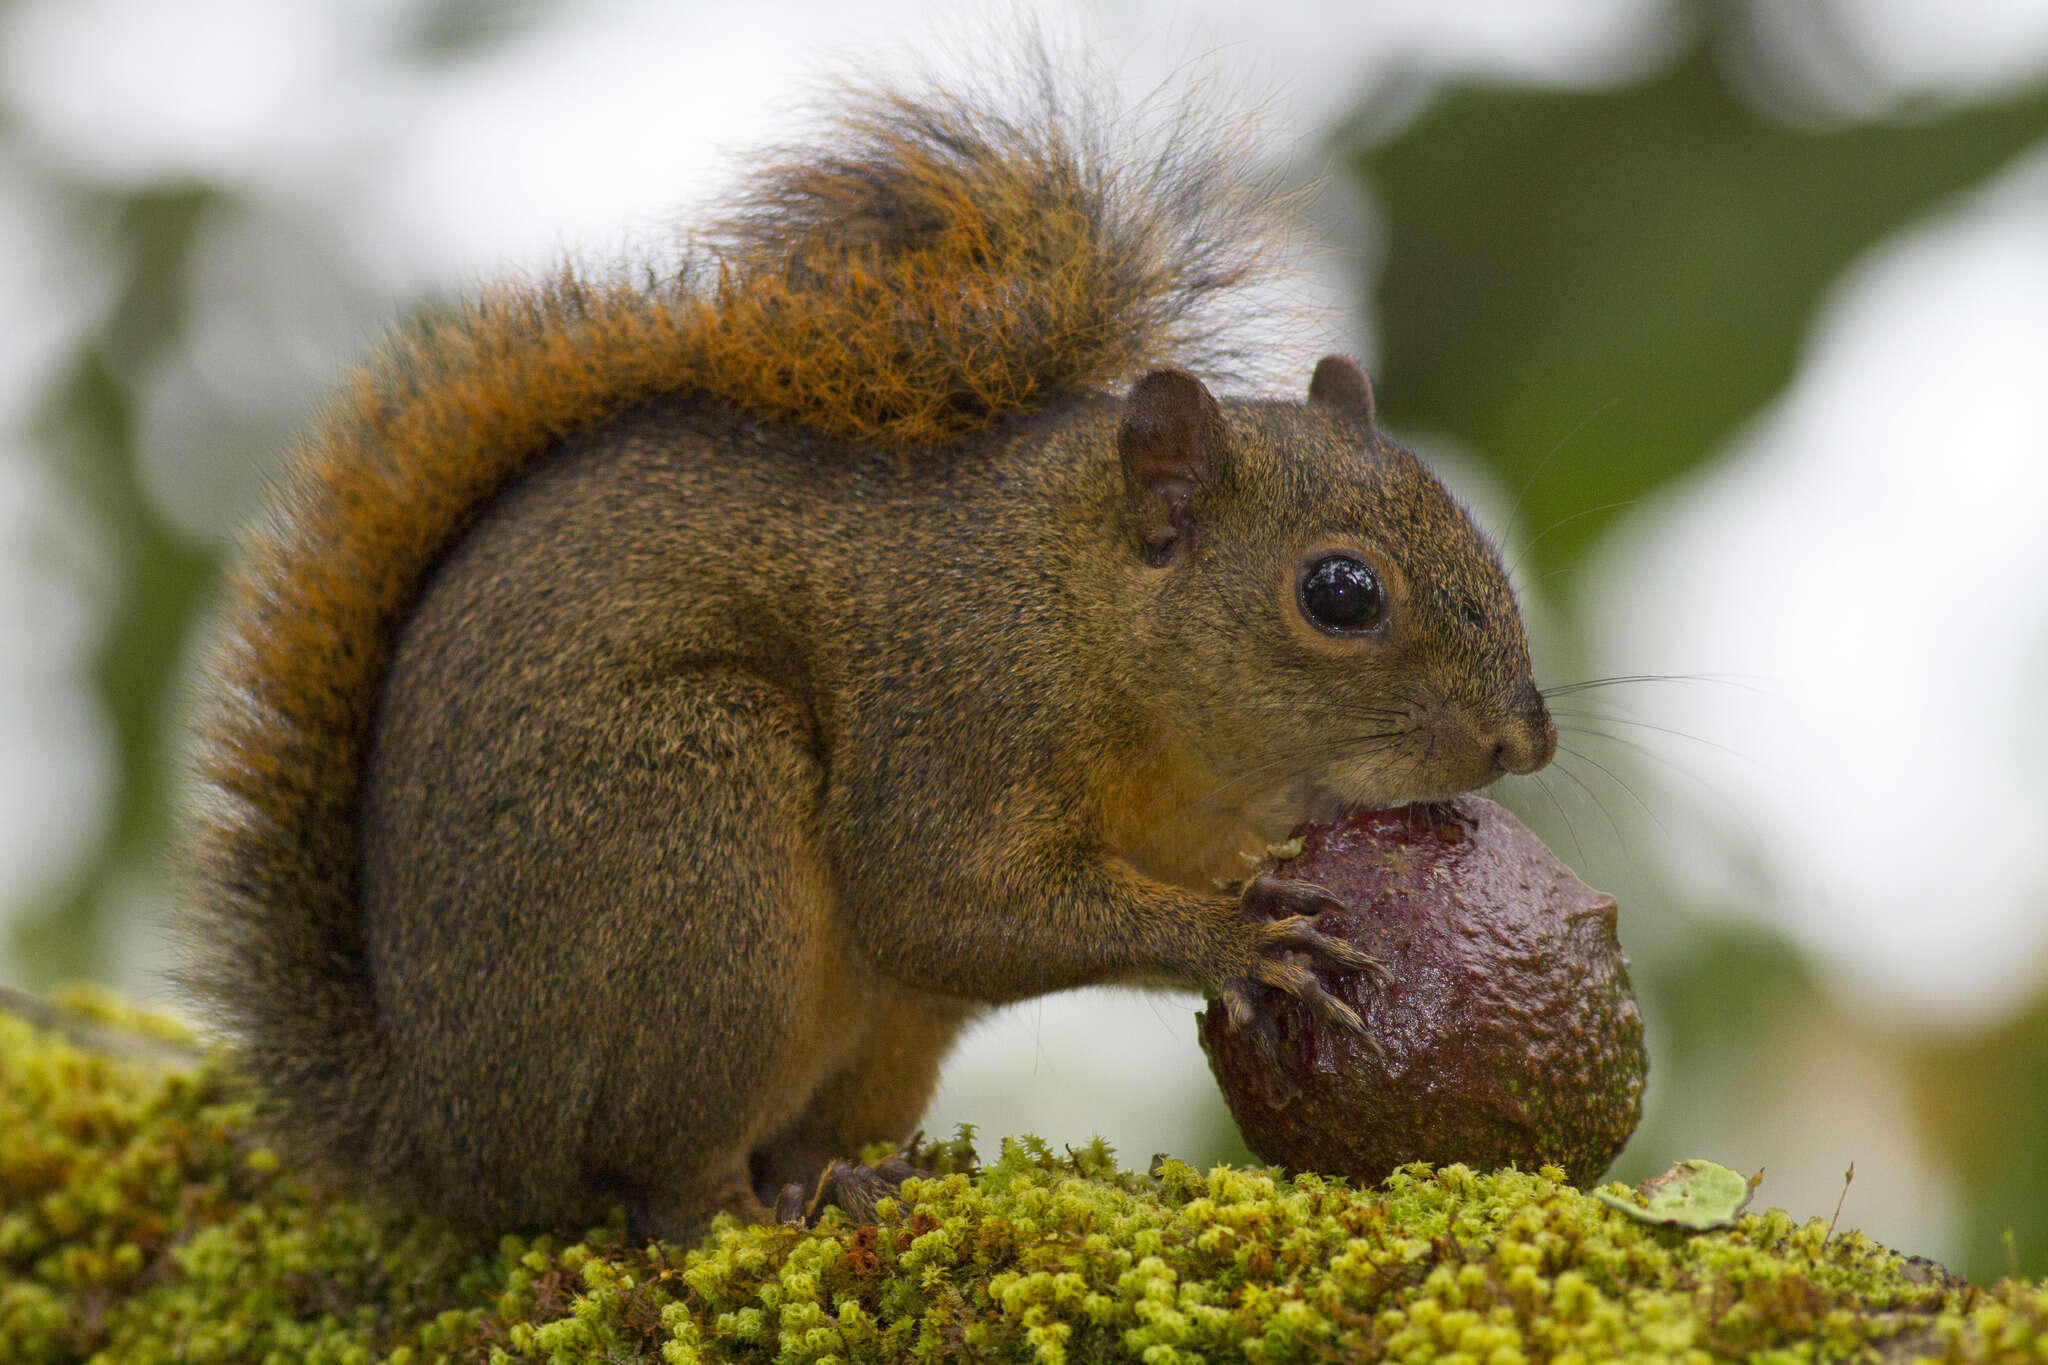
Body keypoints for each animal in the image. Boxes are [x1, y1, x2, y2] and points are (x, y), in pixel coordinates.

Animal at [180, 63, 1548, 1244]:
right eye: (1338, 593)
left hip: (874, 1030)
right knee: (661, 1182)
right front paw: (1234, 941)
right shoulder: (956, 699)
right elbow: (930, 900)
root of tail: (439, 1133)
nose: (1520, 741)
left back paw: (845, 1180)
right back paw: (750, 1214)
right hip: (691, 844)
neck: (1089, 621)